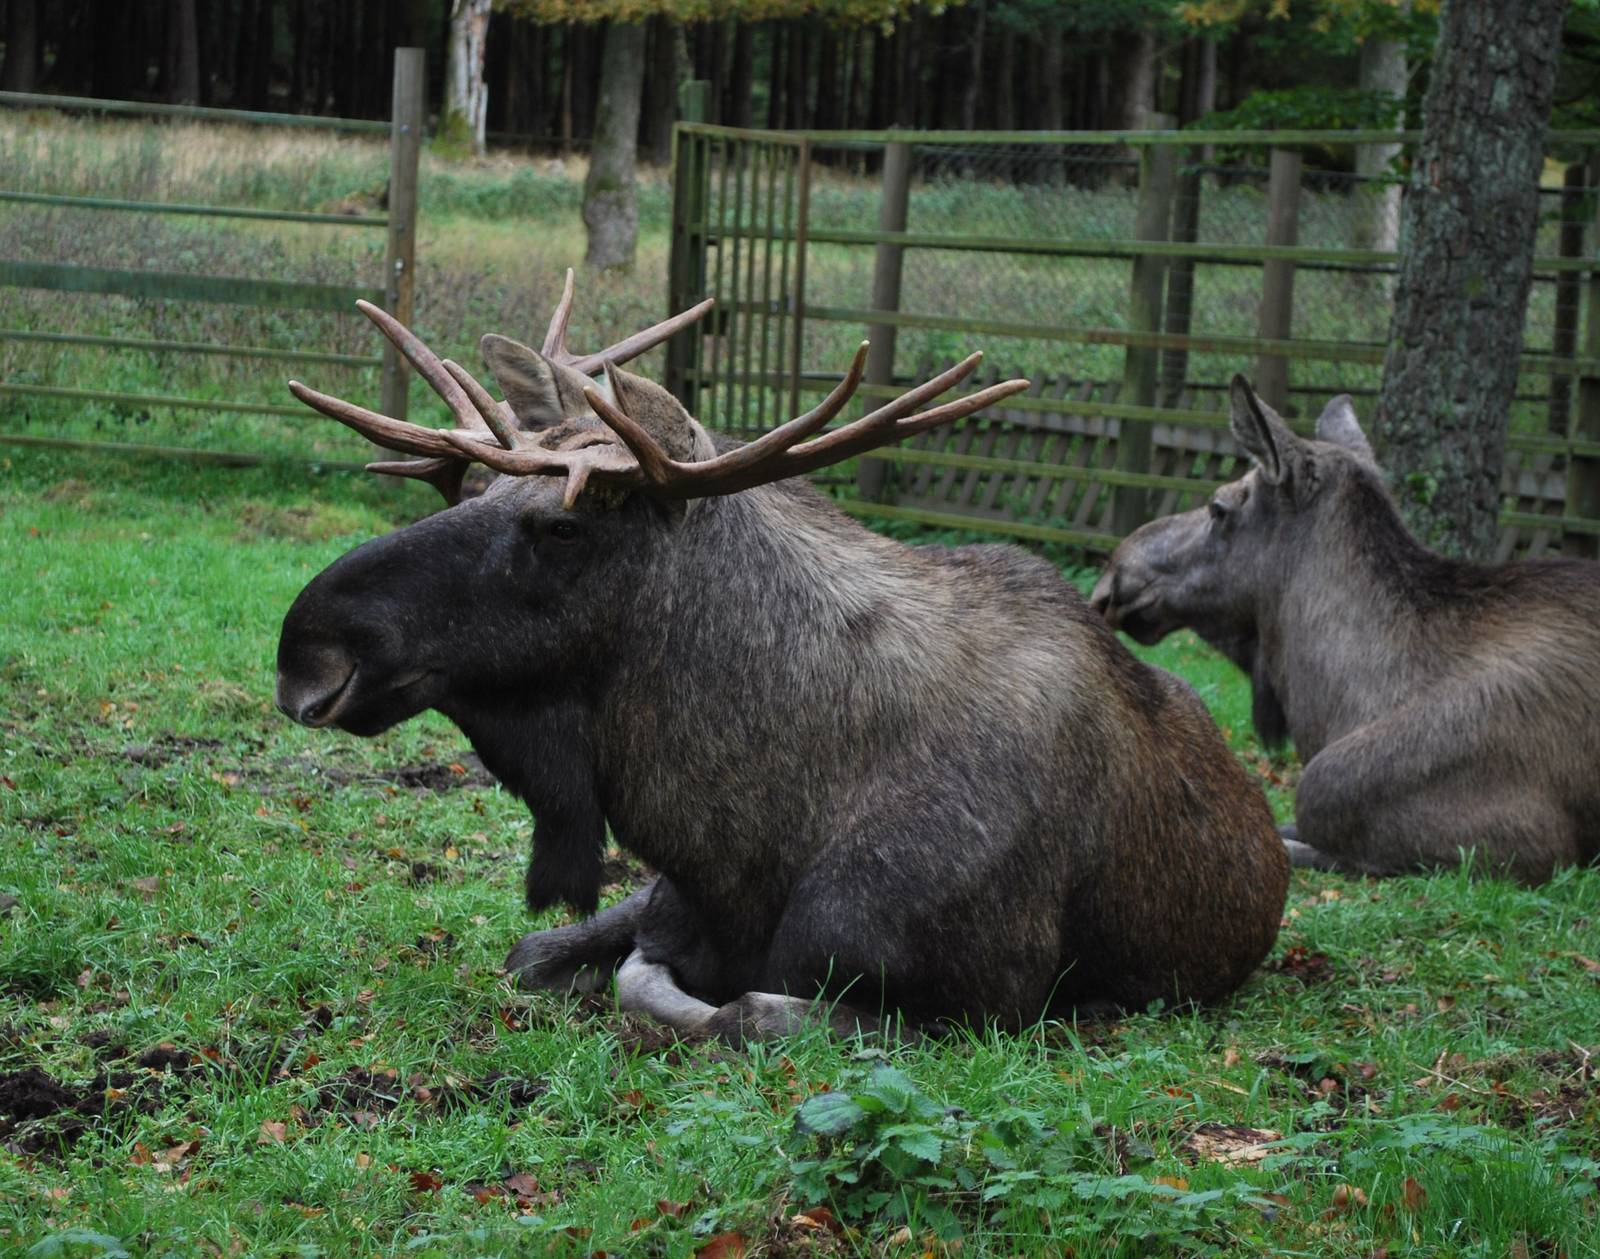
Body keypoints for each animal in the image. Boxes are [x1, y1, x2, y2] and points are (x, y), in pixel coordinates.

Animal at [275, 274, 1288, 1042]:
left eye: (562, 524)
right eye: (474, 486)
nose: (307, 651)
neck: (744, 836)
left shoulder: (985, 998)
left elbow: (742, 1009)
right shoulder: (665, 901)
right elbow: (572, 959)